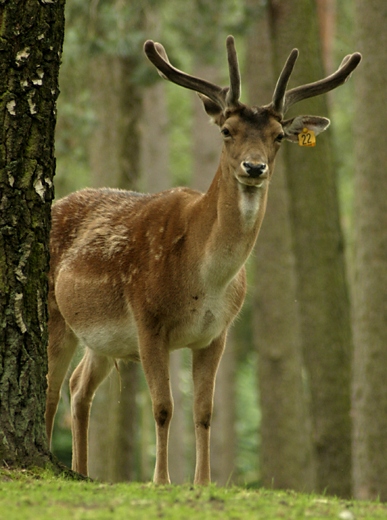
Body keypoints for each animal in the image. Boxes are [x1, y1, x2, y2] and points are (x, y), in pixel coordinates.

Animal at [44, 35, 360, 484]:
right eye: (227, 131)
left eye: (279, 136)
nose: (254, 167)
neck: (205, 279)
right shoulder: (148, 318)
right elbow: (163, 407)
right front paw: (161, 481)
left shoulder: (218, 333)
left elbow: (204, 411)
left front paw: (203, 481)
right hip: (56, 314)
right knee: (50, 389)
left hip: (100, 339)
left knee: (78, 386)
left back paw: (83, 472)